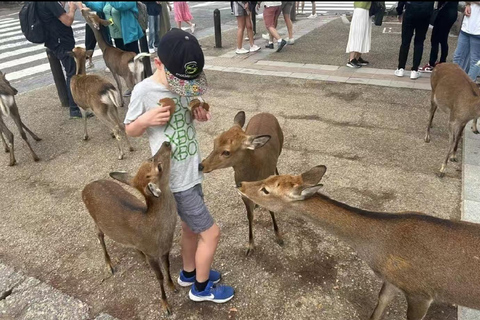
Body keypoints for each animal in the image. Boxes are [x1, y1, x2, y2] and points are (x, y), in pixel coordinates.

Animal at [82, 142, 178, 316]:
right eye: (159, 167)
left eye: (151, 158)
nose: (166, 143)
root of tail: (85, 188)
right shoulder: (151, 253)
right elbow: (159, 276)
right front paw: (166, 306)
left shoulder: (165, 249)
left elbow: (168, 267)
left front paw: (173, 286)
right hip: (95, 219)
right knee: (99, 236)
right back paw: (110, 265)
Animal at [200, 111, 284, 256]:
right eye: (215, 141)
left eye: (227, 152)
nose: (201, 165)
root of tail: (265, 113)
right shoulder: (242, 195)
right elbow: (249, 216)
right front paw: (250, 245)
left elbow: (271, 210)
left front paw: (278, 236)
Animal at [238, 165, 480, 320]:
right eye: (267, 178)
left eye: (266, 190)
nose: (241, 183)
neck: (378, 247)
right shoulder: (391, 279)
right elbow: (380, 303)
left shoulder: (420, 292)